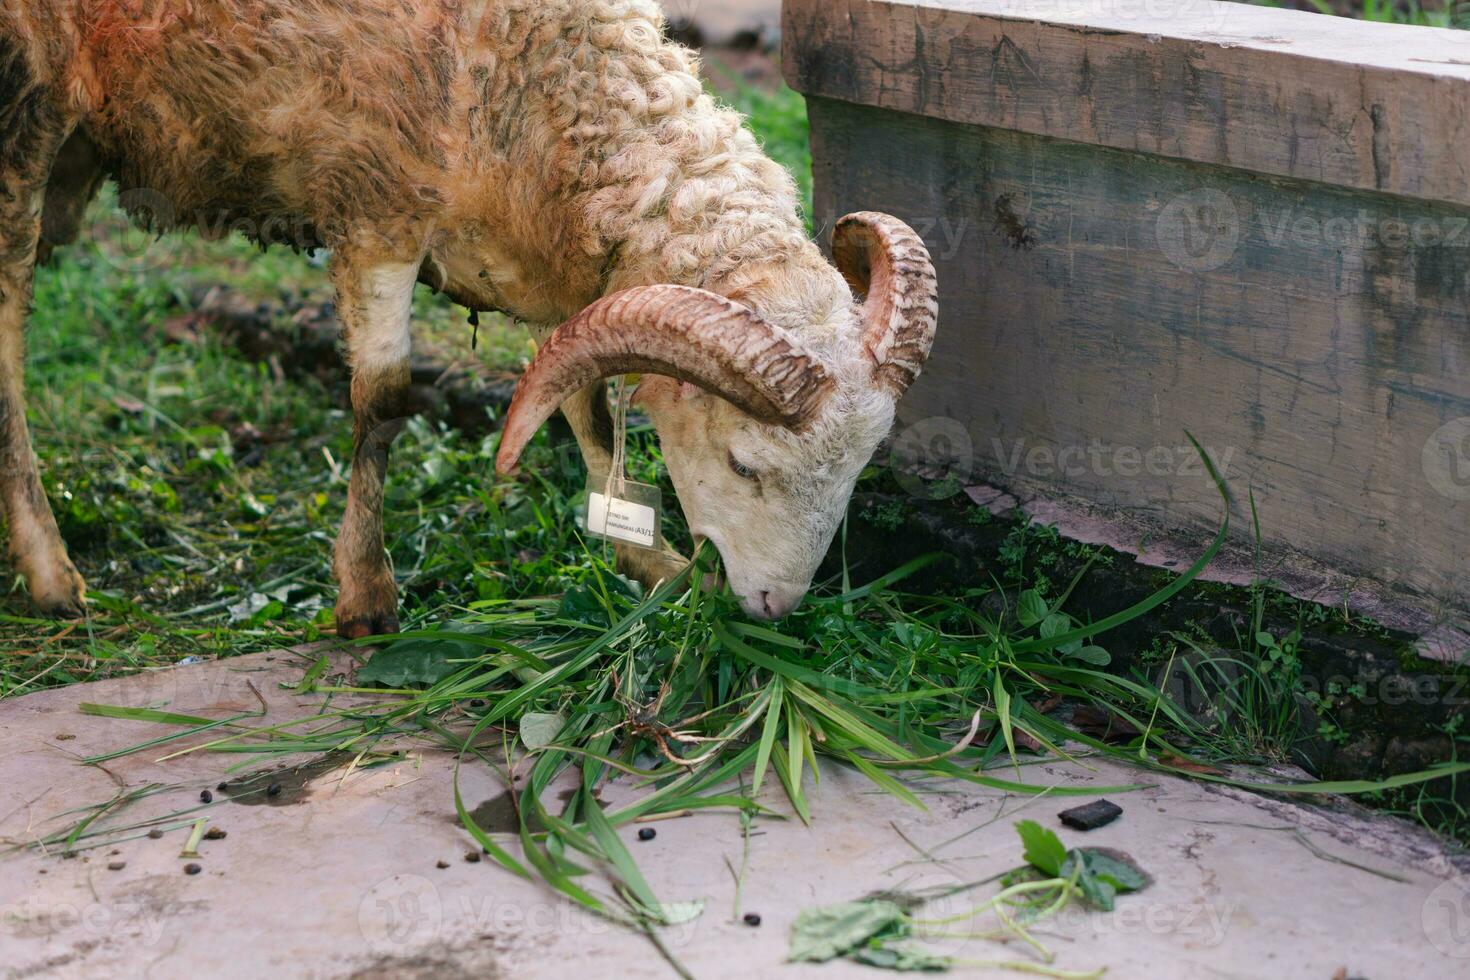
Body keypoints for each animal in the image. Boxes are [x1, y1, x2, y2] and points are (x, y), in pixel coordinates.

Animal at [0, 0, 934, 631]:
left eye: (858, 468)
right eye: (744, 465)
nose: (775, 607)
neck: (523, 71)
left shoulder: (557, 276)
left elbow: (590, 414)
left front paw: (650, 564)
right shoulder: (373, 209)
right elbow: (382, 401)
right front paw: (366, 598)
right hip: (22, 109)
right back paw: (53, 576)